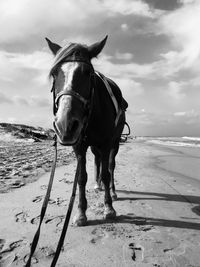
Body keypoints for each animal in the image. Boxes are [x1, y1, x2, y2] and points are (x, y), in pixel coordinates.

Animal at [46, 35, 127, 227]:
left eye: (88, 73)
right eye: (54, 73)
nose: (65, 124)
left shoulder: (106, 143)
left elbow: (106, 173)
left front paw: (108, 208)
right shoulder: (80, 146)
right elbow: (82, 177)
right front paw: (81, 212)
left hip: (114, 143)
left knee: (110, 166)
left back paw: (112, 191)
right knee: (98, 162)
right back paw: (98, 185)